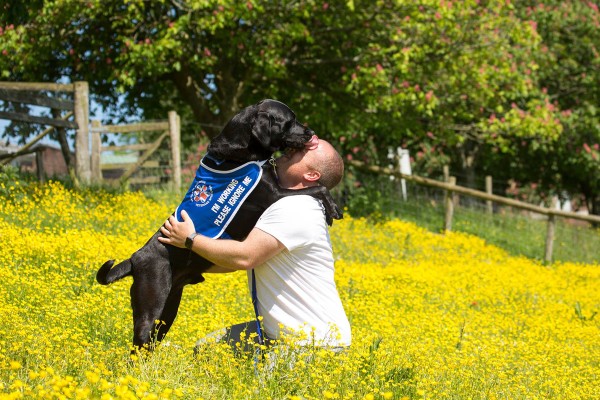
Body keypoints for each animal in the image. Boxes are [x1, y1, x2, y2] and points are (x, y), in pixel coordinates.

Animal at [98, 99, 342, 350]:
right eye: (290, 121)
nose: (311, 133)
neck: (244, 154)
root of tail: (135, 258)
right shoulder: (275, 194)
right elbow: (317, 187)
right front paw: (333, 207)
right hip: (151, 303)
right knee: (139, 344)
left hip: (169, 308)